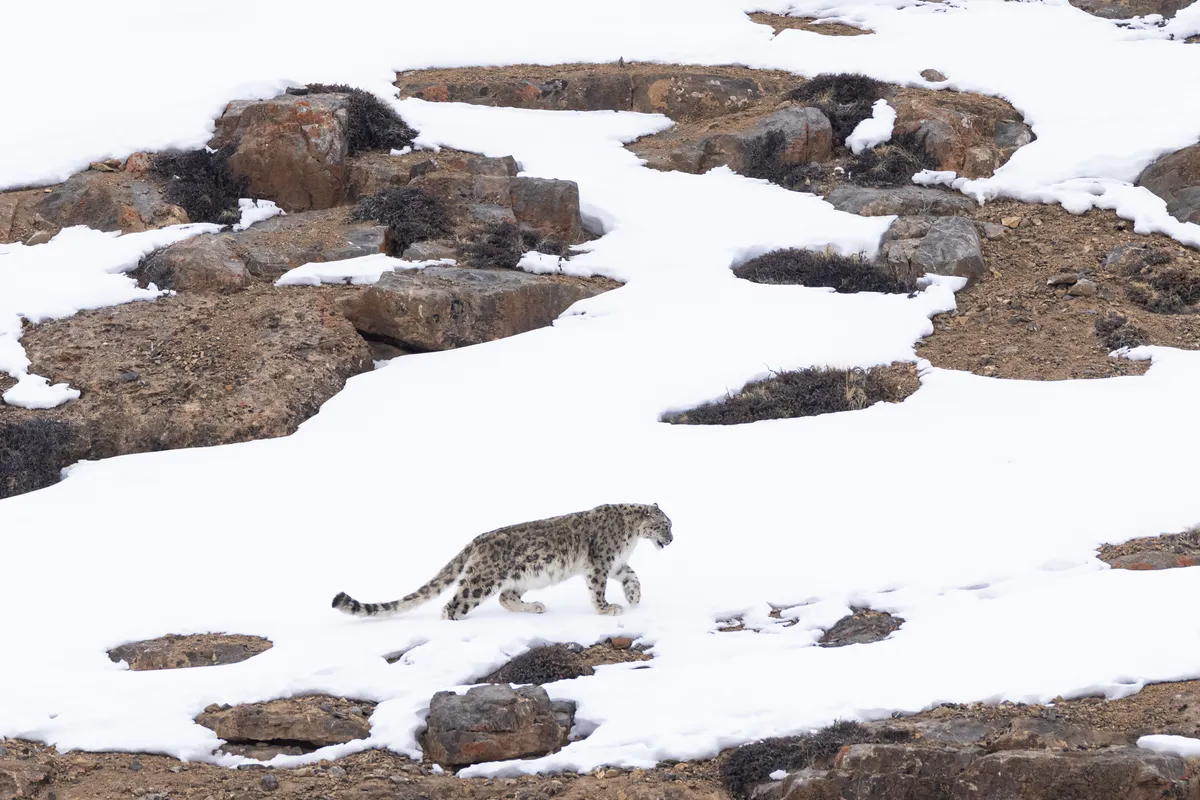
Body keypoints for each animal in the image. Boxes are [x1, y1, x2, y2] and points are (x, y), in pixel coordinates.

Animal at [332, 503, 673, 620]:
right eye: (665, 525)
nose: (671, 540)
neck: (631, 535)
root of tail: (477, 540)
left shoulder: (617, 563)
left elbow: (632, 575)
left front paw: (634, 597)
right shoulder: (601, 562)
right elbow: (598, 588)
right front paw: (607, 608)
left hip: (522, 576)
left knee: (507, 598)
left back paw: (535, 607)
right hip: (482, 580)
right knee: (454, 604)